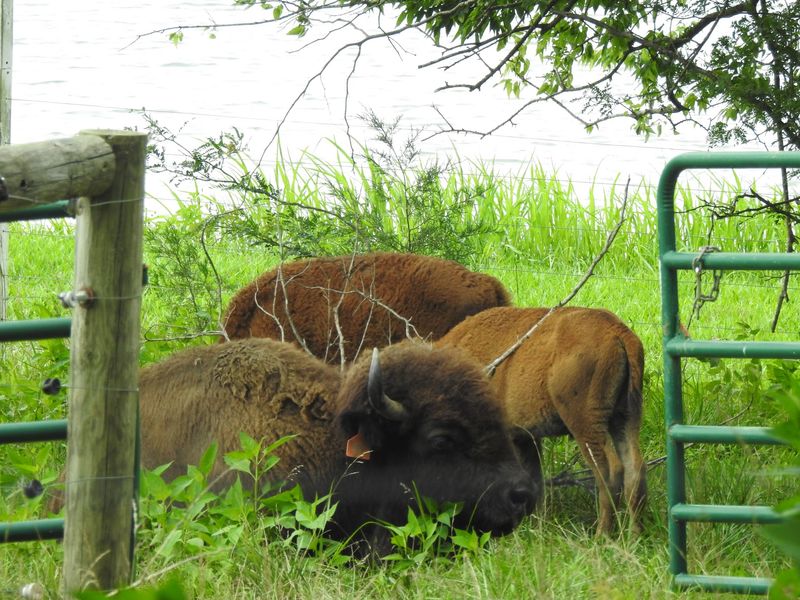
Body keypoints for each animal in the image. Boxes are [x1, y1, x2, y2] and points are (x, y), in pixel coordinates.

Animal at [437, 306, 646, 535]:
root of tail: (617, 331)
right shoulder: (525, 437)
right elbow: (534, 478)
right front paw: (535, 523)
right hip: (626, 415)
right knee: (635, 468)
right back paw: (635, 535)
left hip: (585, 422)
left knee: (609, 470)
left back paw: (602, 534)